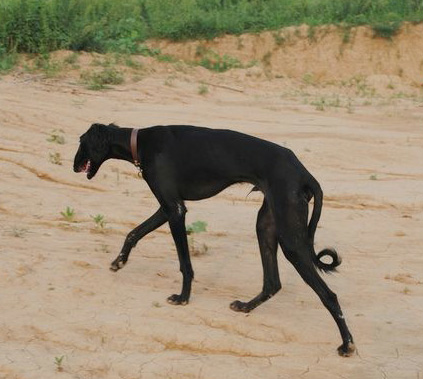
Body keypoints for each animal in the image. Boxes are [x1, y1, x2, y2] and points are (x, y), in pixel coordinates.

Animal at [74, 124, 356, 356]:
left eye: (81, 142)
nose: (73, 166)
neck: (140, 141)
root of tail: (305, 173)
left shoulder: (175, 210)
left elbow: (185, 263)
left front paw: (183, 297)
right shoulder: (167, 208)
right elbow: (133, 233)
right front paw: (119, 261)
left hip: (291, 240)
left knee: (329, 295)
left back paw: (347, 344)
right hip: (266, 226)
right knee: (272, 283)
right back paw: (246, 306)